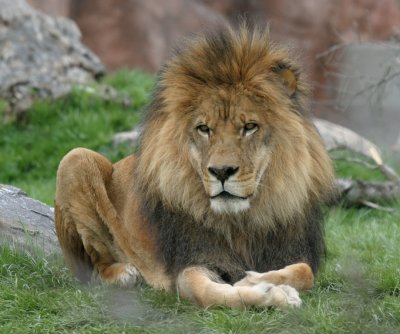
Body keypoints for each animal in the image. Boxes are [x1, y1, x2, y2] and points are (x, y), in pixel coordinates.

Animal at [54, 24, 334, 310]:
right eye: (204, 128)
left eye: (249, 126)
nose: (221, 172)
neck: (242, 222)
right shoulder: (195, 260)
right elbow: (206, 291)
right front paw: (270, 292)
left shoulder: (291, 251)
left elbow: (305, 272)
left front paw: (258, 279)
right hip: (75, 159)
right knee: (93, 269)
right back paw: (125, 274)